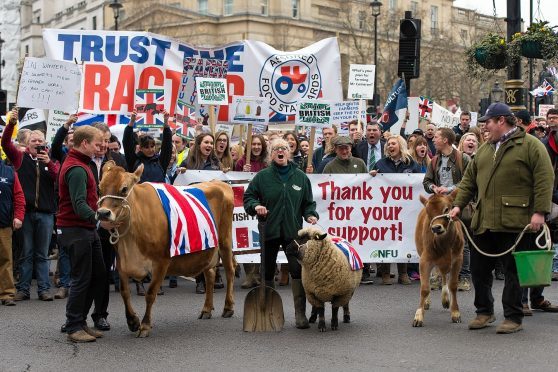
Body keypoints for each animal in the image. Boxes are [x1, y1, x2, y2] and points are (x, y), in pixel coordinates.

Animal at [97, 161, 235, 338]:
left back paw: (228, 307)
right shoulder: (122, 262)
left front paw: (145, 325)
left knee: (230, 270)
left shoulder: (161, 261)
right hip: (208, 249)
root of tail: (217, 183)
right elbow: (124, 292)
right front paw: (132, 321)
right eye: (100, 188)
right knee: (210, 274)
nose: (103, 213)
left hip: (225, 240)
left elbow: (150, 294)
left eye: (124, 189)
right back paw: (206, 309)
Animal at [414, 190, 466, 326]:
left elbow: (453, 285)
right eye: (428, 212)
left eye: (446, 209)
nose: (436, 228)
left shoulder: (458, 259)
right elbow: (424, 288)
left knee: (443, 275)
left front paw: (455, 313)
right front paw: (418, 316)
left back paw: (445, 299)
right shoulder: (424, 260)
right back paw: (427, 302)